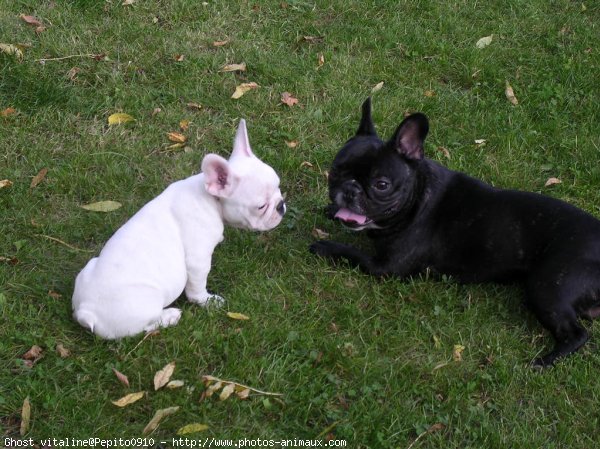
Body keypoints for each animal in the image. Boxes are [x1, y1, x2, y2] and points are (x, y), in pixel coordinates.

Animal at [71, 121, 288, 338]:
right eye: (261, 206)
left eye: (278, 186)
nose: (281, 205)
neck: (210, 198)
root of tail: (86, 311)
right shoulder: (198, 261)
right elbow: (197, 289)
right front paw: (207, 301)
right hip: (145, 304)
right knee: (145, 327)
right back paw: (170, 316)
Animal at [312, 98, 600, 368]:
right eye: (336, 170)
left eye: (381, 184)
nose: (350, 189)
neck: (417, 196)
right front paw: (331, 210)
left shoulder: (385, 267)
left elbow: (353, 253)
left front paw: (325, 246)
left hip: (548, 286)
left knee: (576, 334)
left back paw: (545, 361)